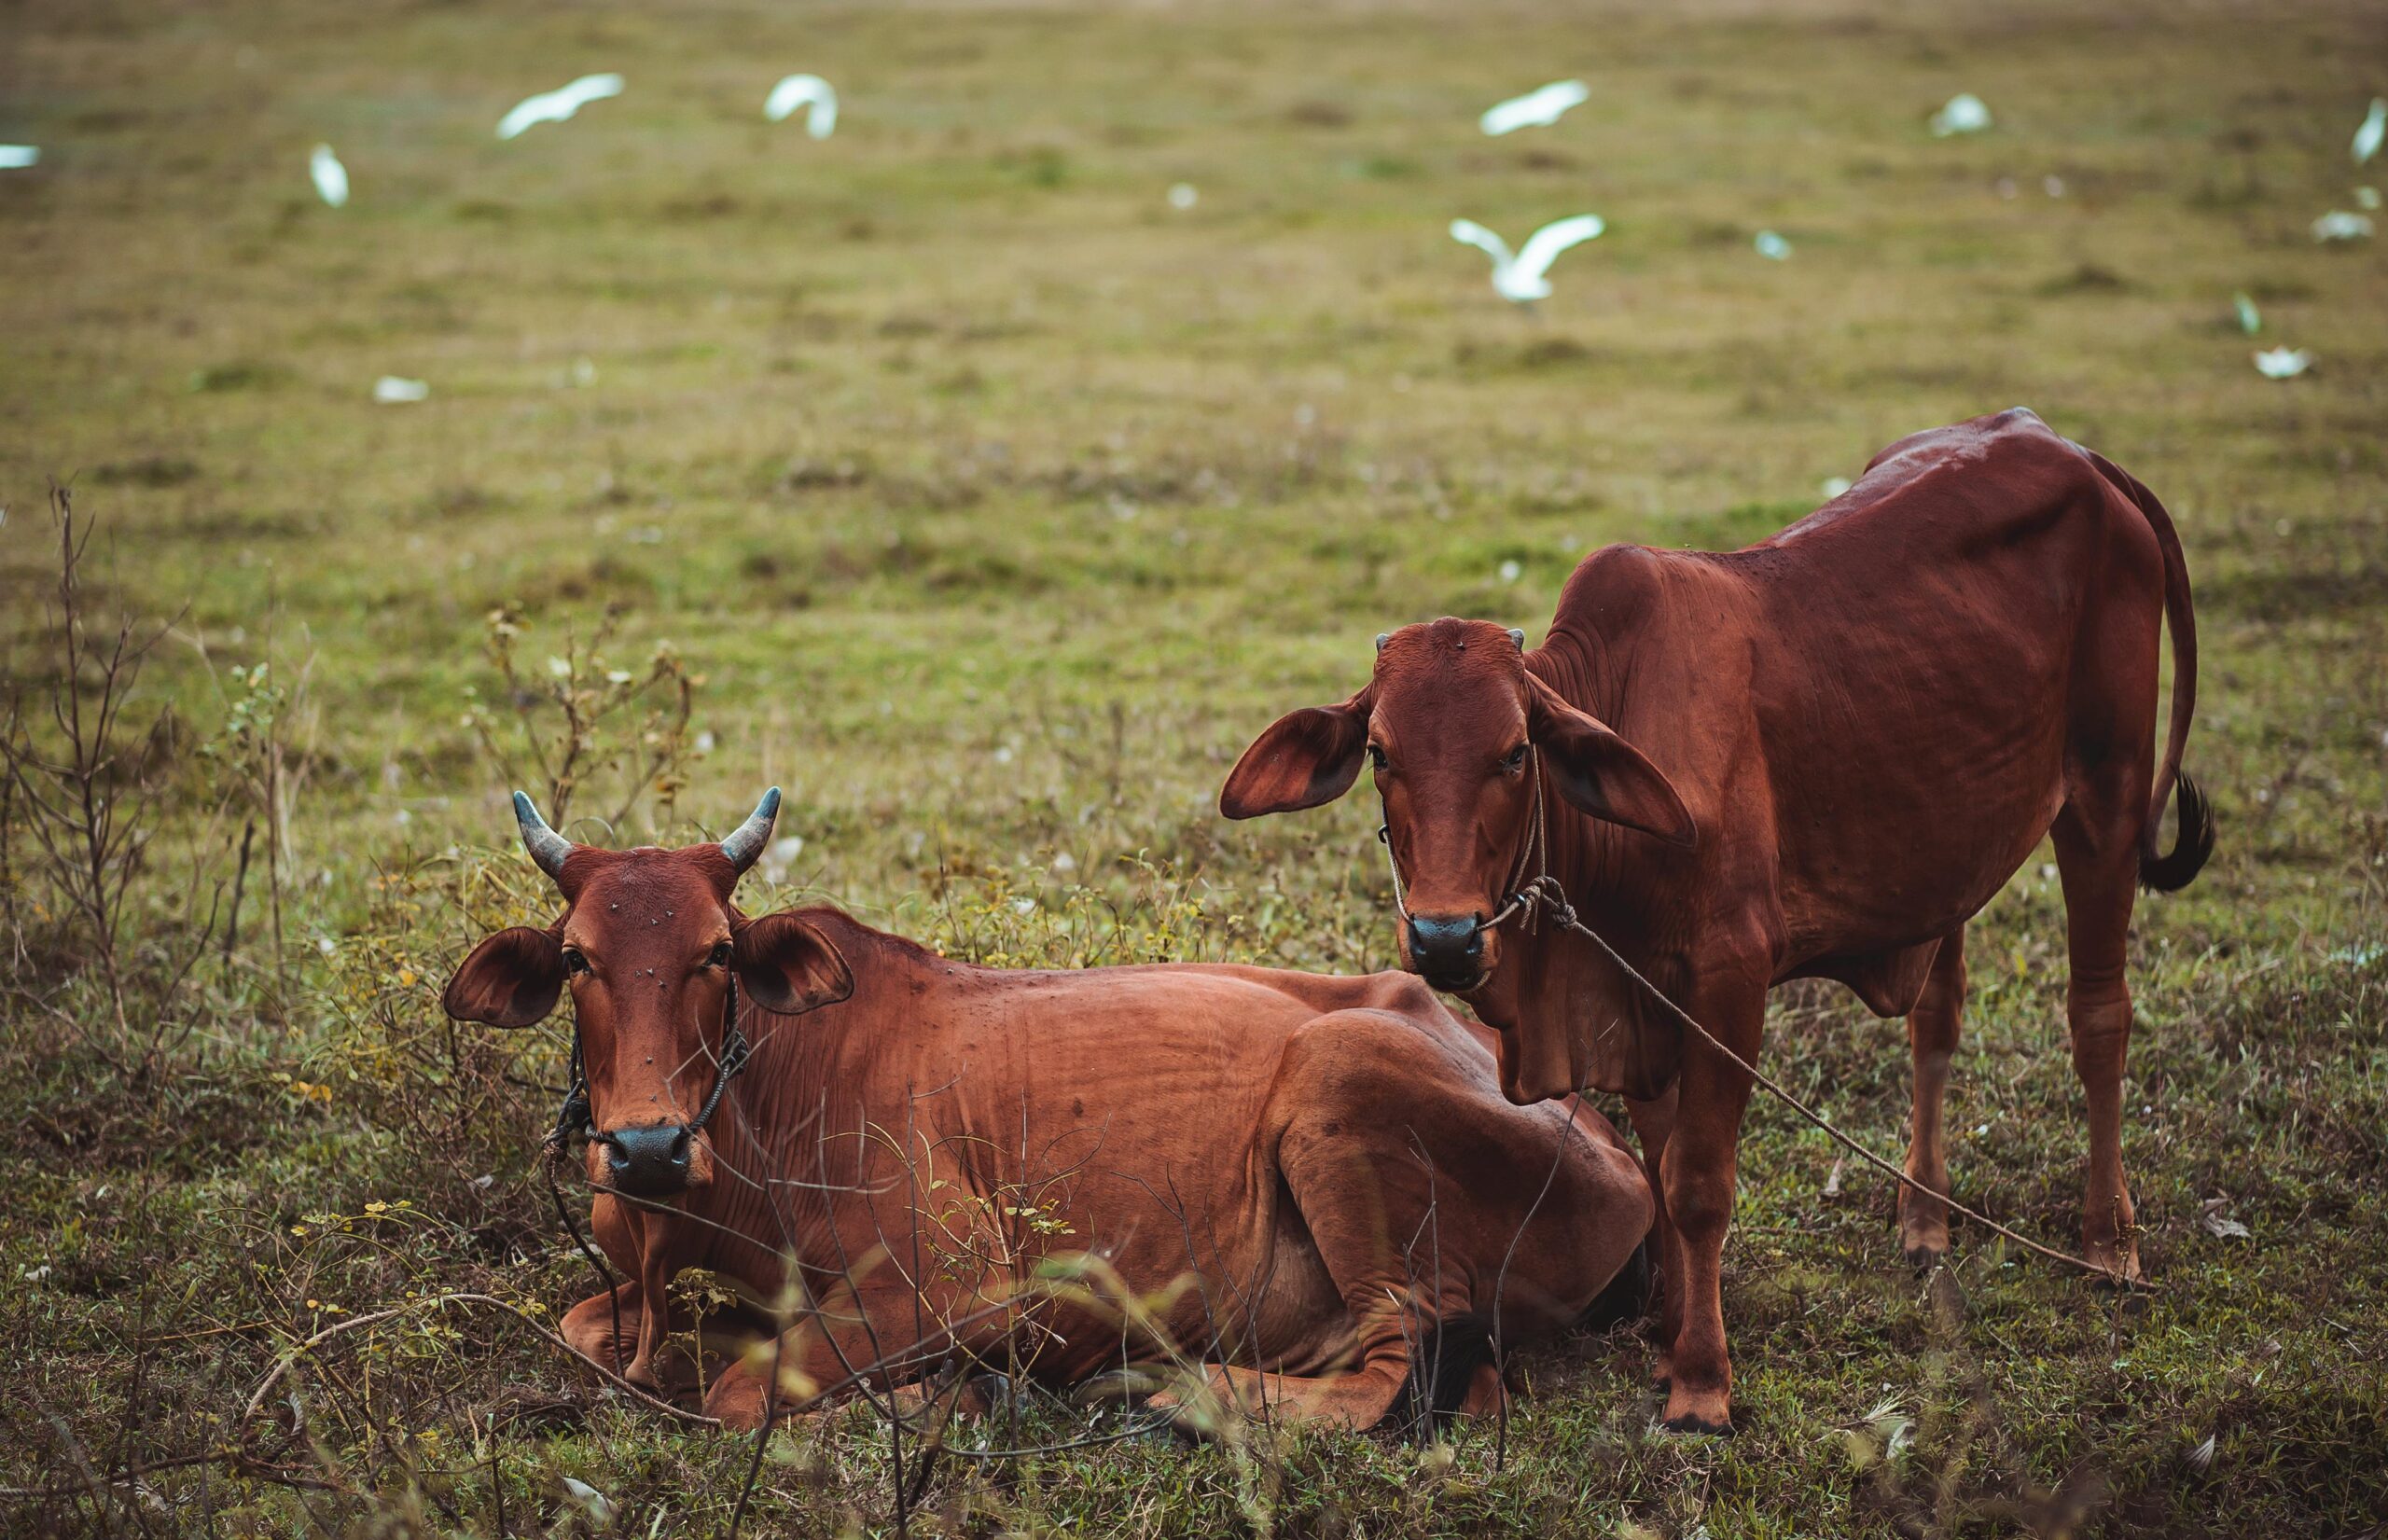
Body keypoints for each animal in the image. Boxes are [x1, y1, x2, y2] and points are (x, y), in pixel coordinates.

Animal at [439, 792, 1652, 1432]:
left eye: (715, 953)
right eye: (578, 958)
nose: (644, 1146)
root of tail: (1611, 1144)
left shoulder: (959, 1282)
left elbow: (742, 1392)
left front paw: (942, 1401)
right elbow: (593, 1331)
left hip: (1338, 1080)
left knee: (1399, 1371)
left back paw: (1177, 1388)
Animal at [1222, 408, 2206, 1432]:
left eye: (1514, 752)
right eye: (1379, 752)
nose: (1444, 937)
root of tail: (2076, 451)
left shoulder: (1730, 981)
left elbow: (1697, 1183)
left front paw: (1700, 1382)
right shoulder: (1638, 997)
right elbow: (1660, 1167)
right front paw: (1664, 1342)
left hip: (2105, 794)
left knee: (2099, 1016)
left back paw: (2109, 1244)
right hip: (1953, 839)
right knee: (1938, 1018)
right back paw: (1924, 1220)